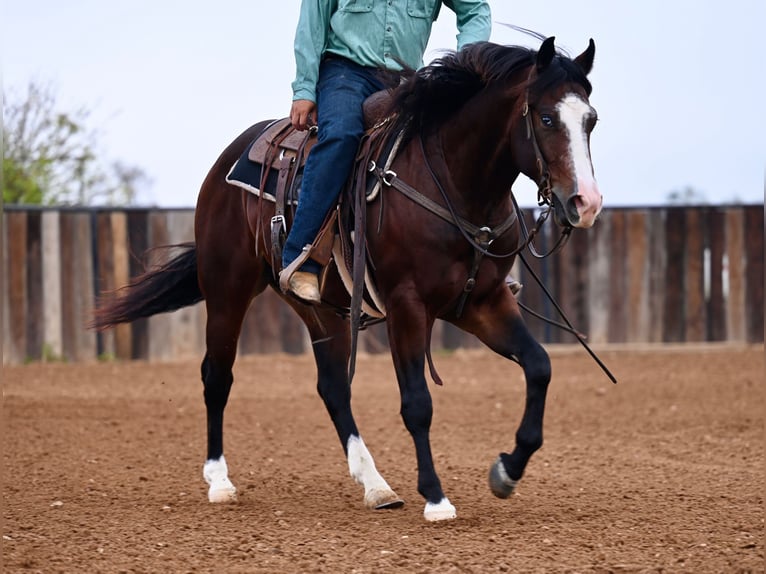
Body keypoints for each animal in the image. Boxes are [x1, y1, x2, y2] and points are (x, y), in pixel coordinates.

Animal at [92, 37, 602, 522]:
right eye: (547, 118)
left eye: (591, 120)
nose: (586, 202)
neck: (455, 184)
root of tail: (229, 160)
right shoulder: (407, 306)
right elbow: (417, 403)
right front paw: (436, 498)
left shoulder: (484, 302)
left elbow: (539, 366)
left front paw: (506, 471)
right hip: (226, 289)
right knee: (217, 375)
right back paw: (220, 481)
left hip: (320, 308)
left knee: (333, 387)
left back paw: (376, 485)